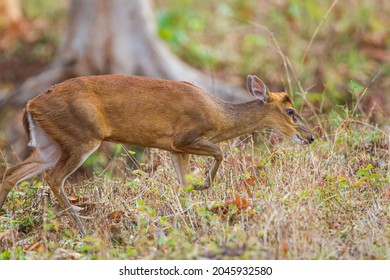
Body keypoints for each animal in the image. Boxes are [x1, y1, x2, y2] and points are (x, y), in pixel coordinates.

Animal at [0, 74, 312, 234]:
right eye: (290, 111)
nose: (309, 137)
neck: (220, 116)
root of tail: (30, 105)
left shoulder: (174, 148)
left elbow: (184, 182)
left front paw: (193, 216)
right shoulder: (184, 137)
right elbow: (220, 152)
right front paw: (205, 185)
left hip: (49, 144)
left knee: (13, 172)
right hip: (81, 136)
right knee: (53, 178)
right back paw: (82, 225)